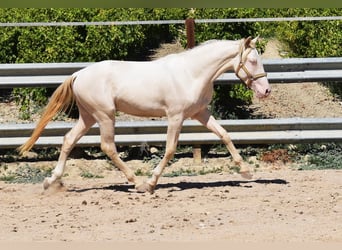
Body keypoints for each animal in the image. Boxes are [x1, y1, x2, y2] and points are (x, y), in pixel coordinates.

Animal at [18, 36, 272, 193]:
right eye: (252, 60)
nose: (266, 91)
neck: (191, 73)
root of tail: (78, 74)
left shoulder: (200, 113)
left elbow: (224, 134)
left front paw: (246, 171)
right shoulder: (175, 117)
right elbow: (170, 149)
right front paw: (151, 182)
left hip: (88, 116)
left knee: (69, 139)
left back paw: (51, 181)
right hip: (105, 115)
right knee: (108, 147)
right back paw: (137, 182)